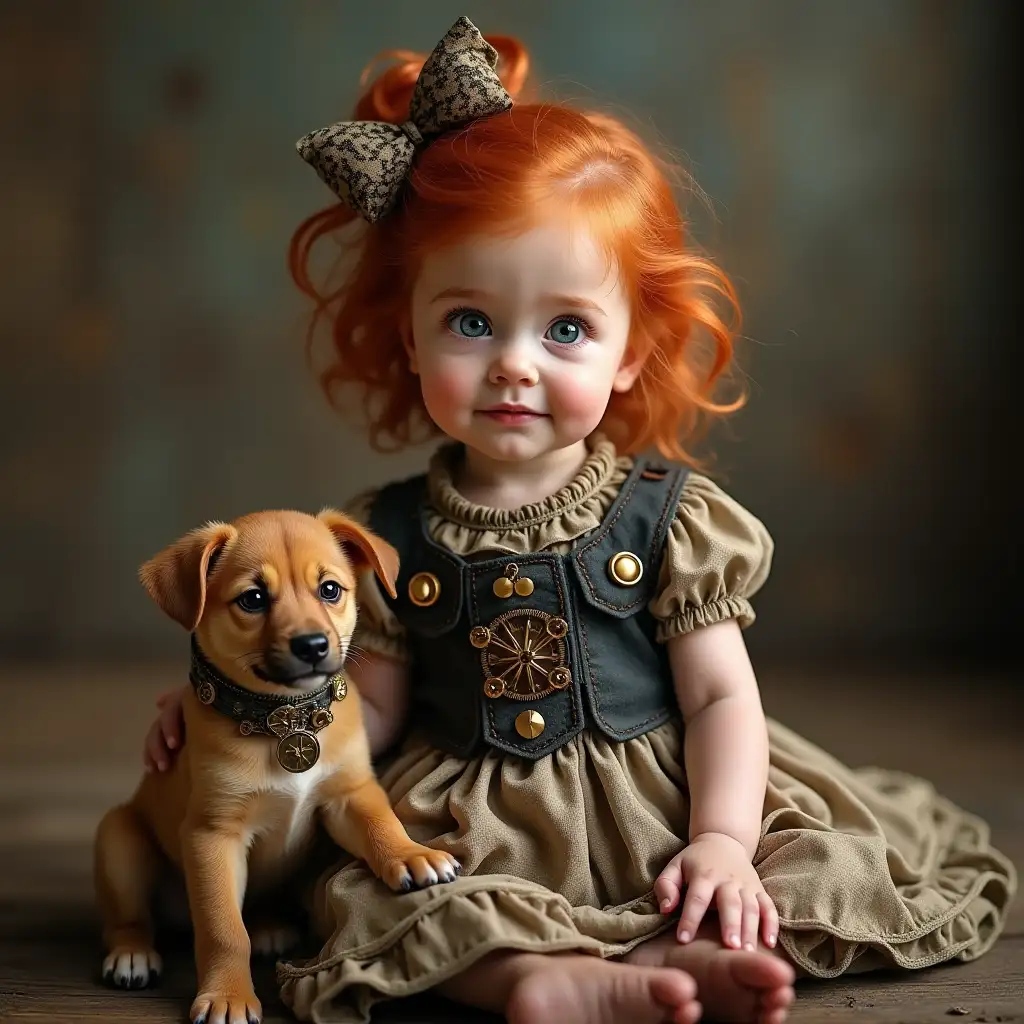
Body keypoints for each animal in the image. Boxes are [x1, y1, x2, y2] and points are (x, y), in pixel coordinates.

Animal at [92, 509, 460, 1024]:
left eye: (330, 589)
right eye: (253, 599)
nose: (312, 645)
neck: (283, 717)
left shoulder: (350, 794)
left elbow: (381, 824)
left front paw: (412, 854)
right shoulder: (213, 836)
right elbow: (225, 930)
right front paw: (228, 995)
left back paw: (268, 926)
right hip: (119, 839)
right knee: (129, 917)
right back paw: (132, 954)